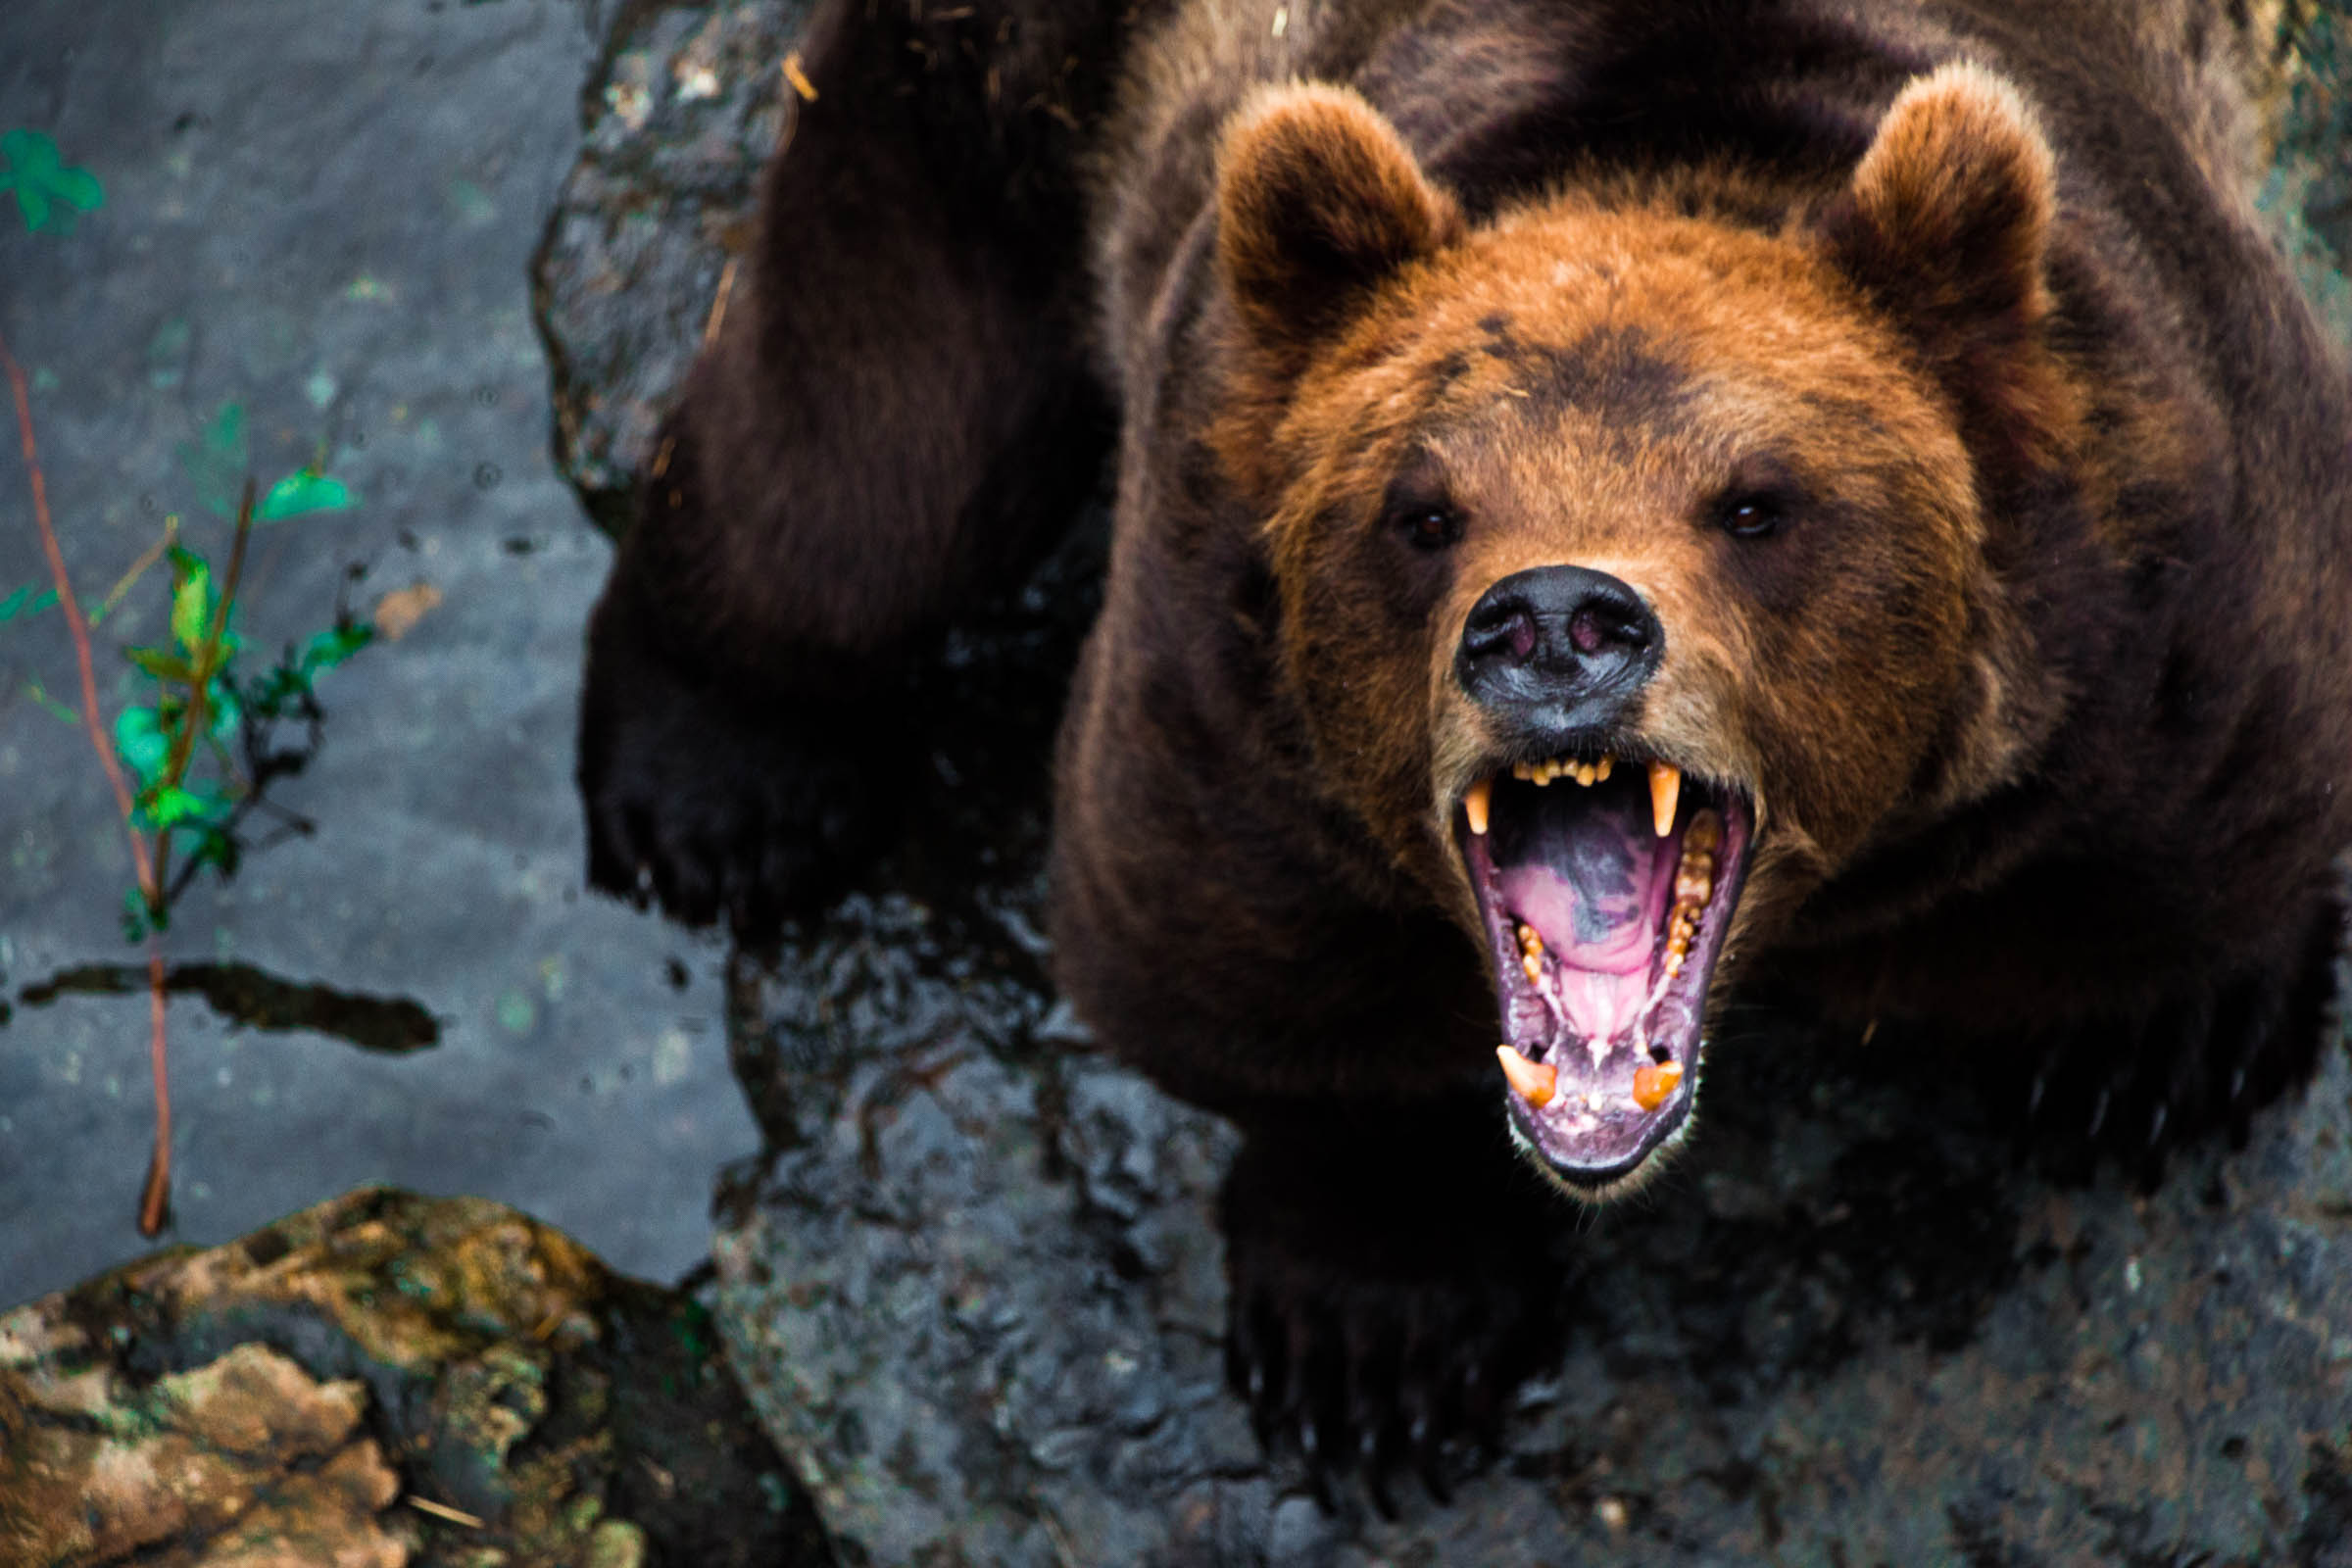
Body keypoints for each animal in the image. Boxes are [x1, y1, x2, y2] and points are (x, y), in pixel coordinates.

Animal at [579, 0, 2352, 1501]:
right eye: (1423, 509)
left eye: (1756, 502)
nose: (1557, 623)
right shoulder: (1227, 687)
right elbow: (1234, 973)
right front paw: (1377, 1342)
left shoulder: (2159, 600)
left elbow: (2204, 831)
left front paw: (2158, 1047)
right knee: (870, 446)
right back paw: (714, 792)